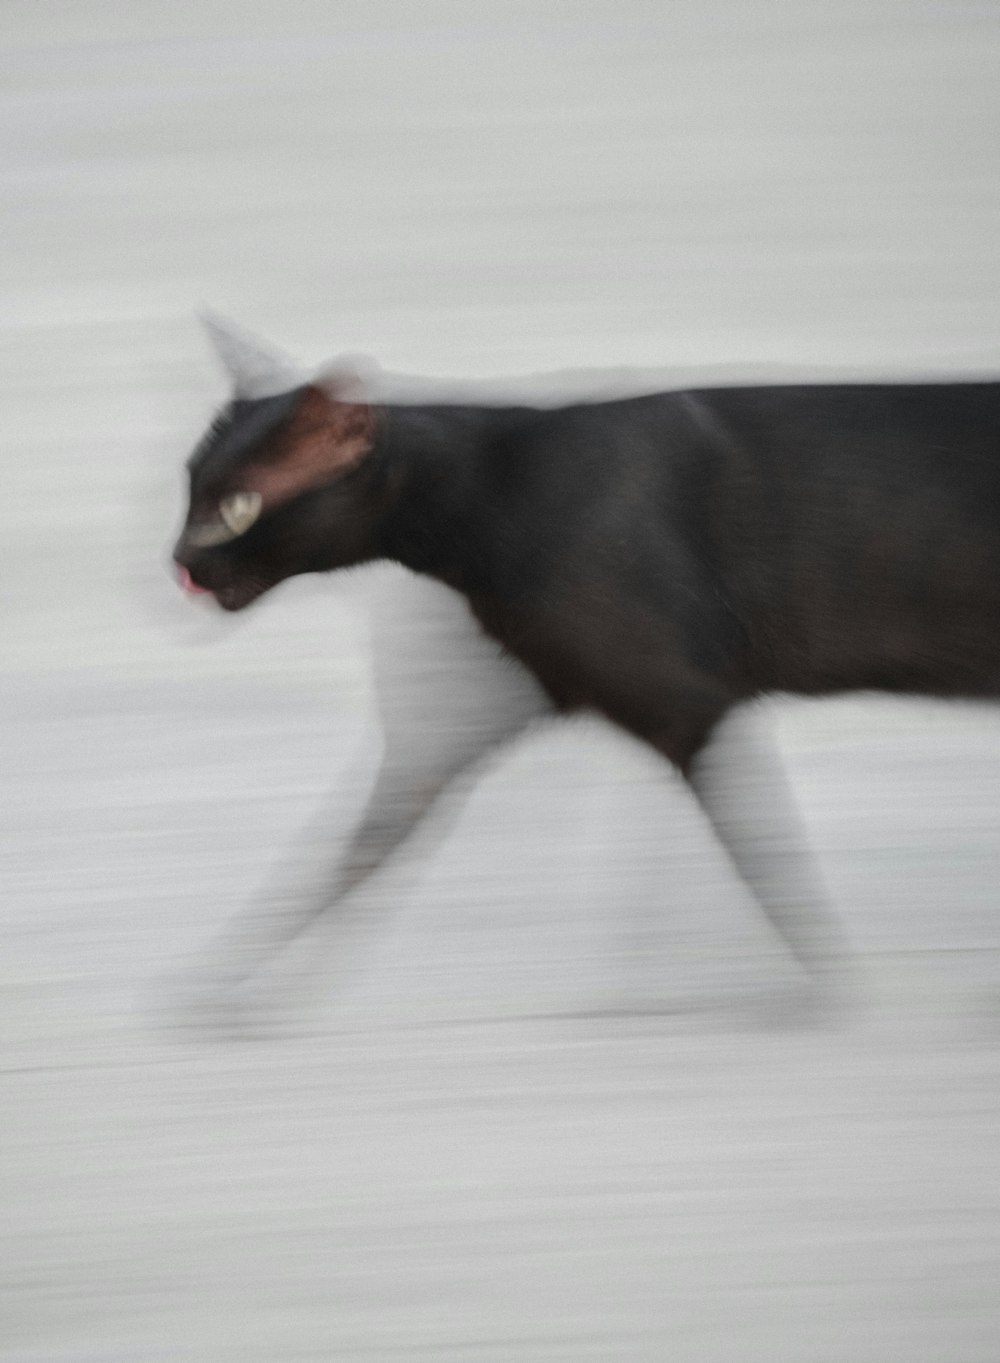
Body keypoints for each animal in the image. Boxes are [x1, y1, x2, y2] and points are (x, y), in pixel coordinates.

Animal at [175, 316, 1000, 1003]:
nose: (179, 562)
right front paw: (230, 992)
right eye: (188, 488)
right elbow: (357, 852)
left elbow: (757, 861)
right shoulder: (463, 722)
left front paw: (831, 991)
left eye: (238, 508)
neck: (482, 499)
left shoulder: (687, 706)